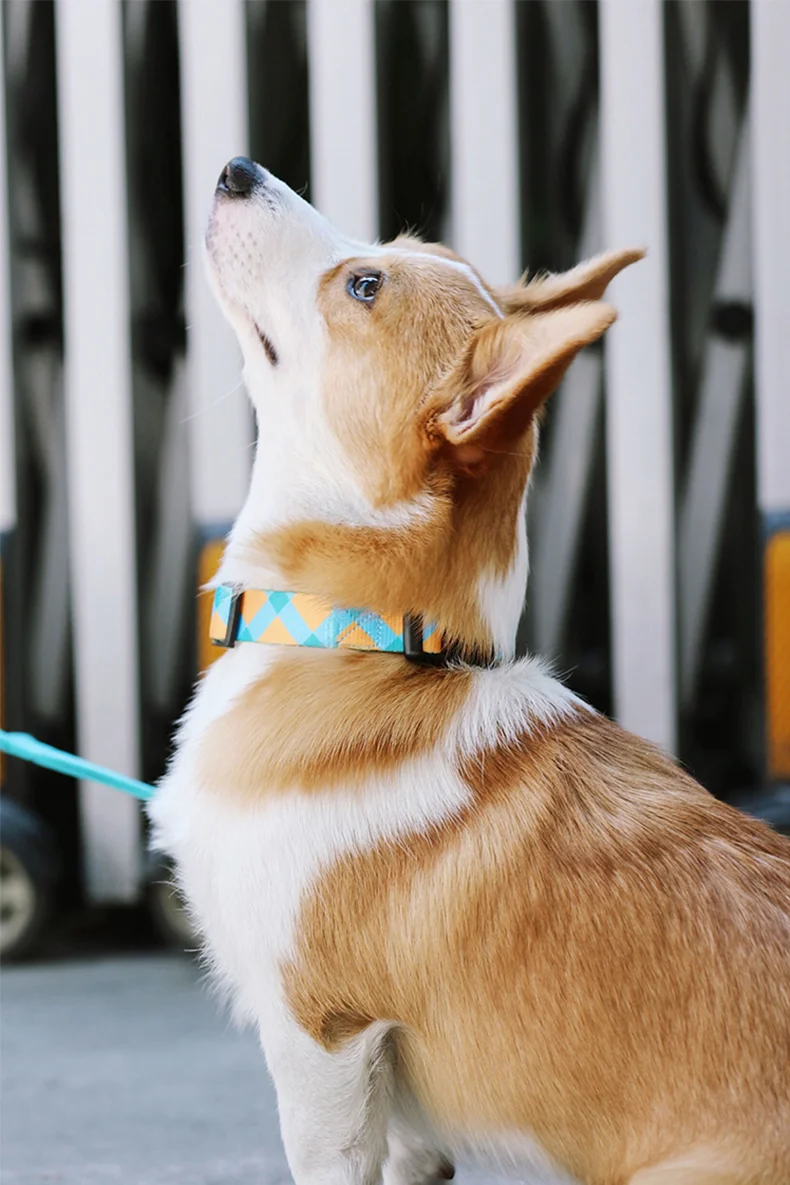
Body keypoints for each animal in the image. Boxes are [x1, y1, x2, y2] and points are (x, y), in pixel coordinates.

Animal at [148, 159, 790, 1185]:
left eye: (364, 286)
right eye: (386, 257)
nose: (238, 170)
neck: (369, 647)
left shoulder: (321, 1040)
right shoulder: (400, 1113)